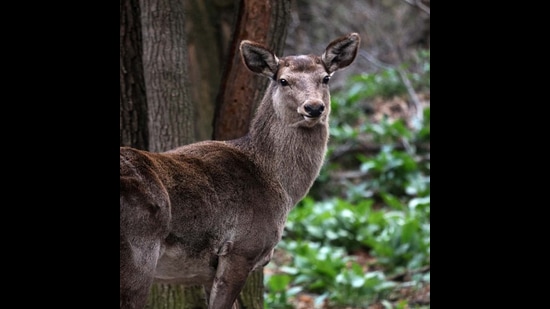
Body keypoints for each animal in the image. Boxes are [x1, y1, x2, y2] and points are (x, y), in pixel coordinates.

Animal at [121, 32, 362, 306]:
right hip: (138, 254)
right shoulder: (241, 248)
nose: (313, 107)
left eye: (325, 78)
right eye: (283, 80)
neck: (280, 188)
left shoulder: (207, 272)